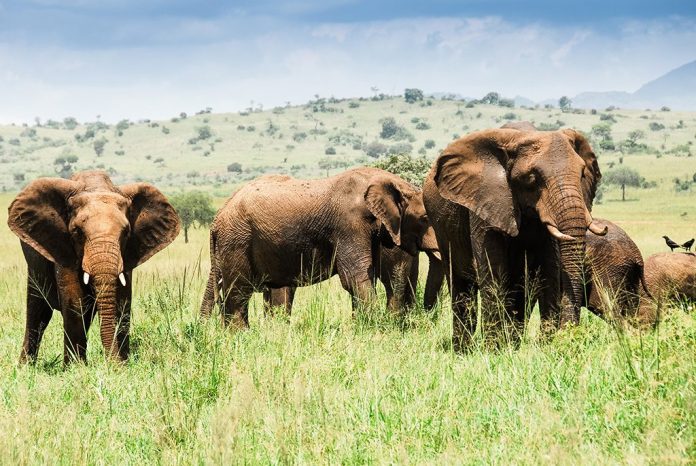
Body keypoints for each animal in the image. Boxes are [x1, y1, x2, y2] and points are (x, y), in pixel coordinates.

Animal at [7, 171, 180, 364]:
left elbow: (122, 303)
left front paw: (123, 364)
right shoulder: (63, 247)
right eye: (77, 232)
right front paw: (76, 368)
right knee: (38, 312)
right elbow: (76, 304)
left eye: (126, 233)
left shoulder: (126, 255)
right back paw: (26, 366)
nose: (111, 363)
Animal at [199, 168, 440, 326]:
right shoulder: (348, 223)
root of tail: (217, 217)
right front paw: (372, 329)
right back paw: (240, 336)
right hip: (237, 240)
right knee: (239, 292)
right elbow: (355, 276)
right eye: (425, 218)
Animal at [423, 125, 605, 349]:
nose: (568, 335)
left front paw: (546, 347)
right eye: (532, 178)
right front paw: (494, 350)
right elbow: (493, 272)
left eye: (582, 174)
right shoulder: (485, 201)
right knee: (461, 286)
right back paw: (463, 349)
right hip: (441, 228)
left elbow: (550, 271)